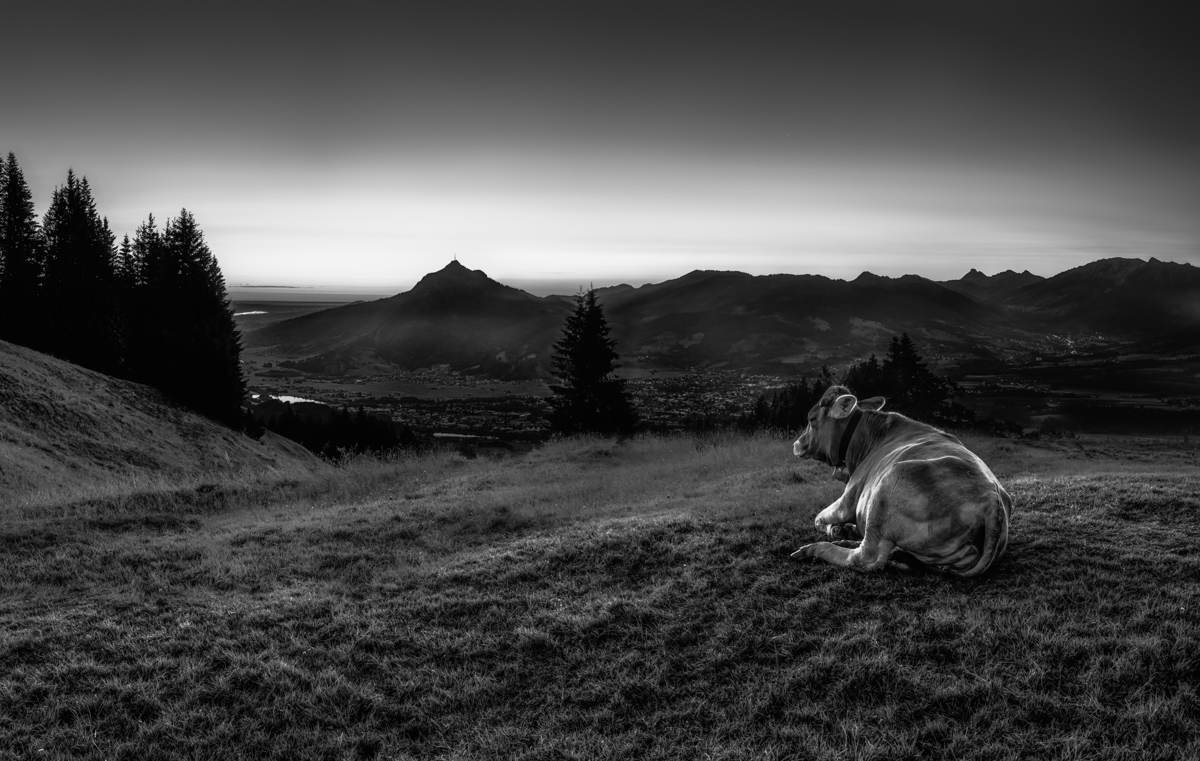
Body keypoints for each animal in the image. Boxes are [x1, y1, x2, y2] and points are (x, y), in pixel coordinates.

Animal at [790, 385, 1011, 576]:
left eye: (811, 419)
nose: (796, 444)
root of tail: (992, 499)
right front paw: (844, 530)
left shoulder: (849, 498)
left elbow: (818, 518)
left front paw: (835, 529)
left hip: (887, 486)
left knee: (866, 557)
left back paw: (815, 549)